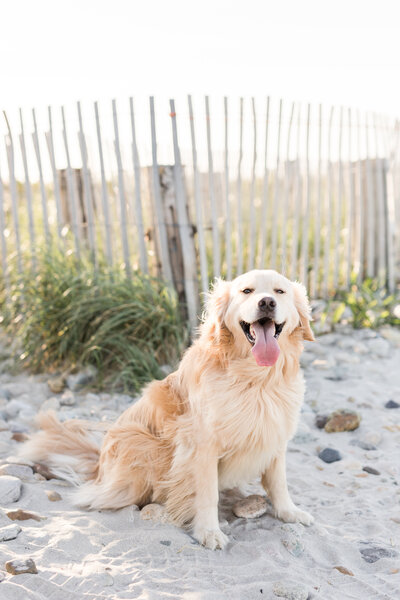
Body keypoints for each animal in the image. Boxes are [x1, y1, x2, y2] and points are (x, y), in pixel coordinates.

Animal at [21, 270, 316, 552]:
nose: (266, 302)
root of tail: (98, 466)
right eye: (247, 291)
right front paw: (209, 531)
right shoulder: (201, 445)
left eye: (280, 291)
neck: (256, 380)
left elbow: (278, 482)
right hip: (140, 442)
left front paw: (289, 512)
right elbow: (207, 493)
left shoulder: (275, 434)